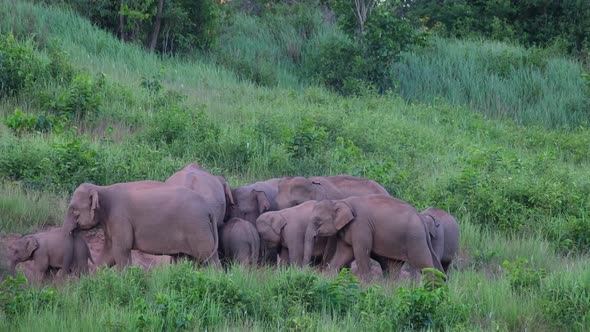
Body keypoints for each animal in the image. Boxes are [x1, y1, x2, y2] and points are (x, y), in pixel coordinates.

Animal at [63, 183, 220, 268]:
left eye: (74, 210)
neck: (102, 189)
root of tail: (209, 209)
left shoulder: (120, 219)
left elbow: (121, 249)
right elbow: (109, 252)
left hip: (198, 229)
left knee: (209, 258)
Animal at [306, 195, 444, 280]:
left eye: (317, 221)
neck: (341, 201)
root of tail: (421, 219)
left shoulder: (361, 226)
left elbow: (360, 252)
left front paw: (366, 285)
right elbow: (343, 254)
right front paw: (328, 278)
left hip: (415, 239)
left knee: (424, 264)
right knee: (394, 267)